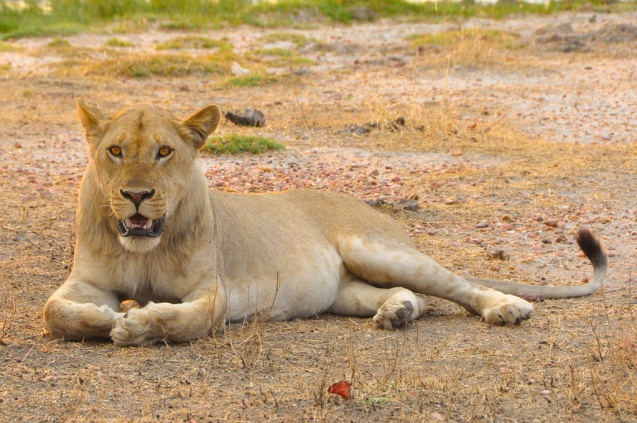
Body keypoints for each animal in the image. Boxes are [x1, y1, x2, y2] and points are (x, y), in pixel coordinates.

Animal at [42, 101, 608, 346]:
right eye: (116, 151)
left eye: (164, 152)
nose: (137, 196)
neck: (147, 248)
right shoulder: (85, 281)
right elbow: (57, 313)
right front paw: (107, 318)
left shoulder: (212, 291)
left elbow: (184, 320)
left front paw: (137, 323)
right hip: (344, 290)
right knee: (412, 297)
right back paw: (397, 313)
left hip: (378, 250)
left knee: (457, 286)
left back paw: (507, 307)